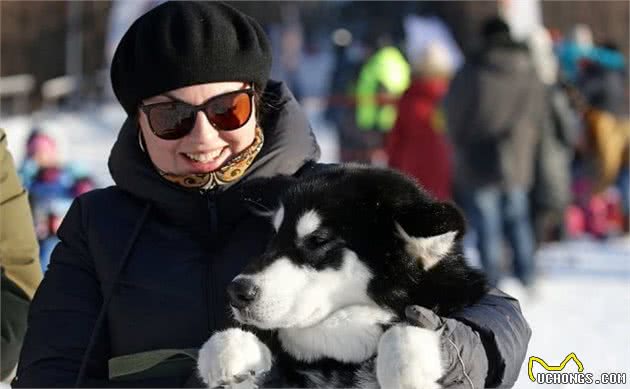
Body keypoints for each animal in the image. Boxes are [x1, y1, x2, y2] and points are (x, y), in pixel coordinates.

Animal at [198, 165, 488, 386]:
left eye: (317, 240)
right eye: (275, 235)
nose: (237, 292)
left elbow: (402, 329)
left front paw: (406, 366)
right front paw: (229, 349)